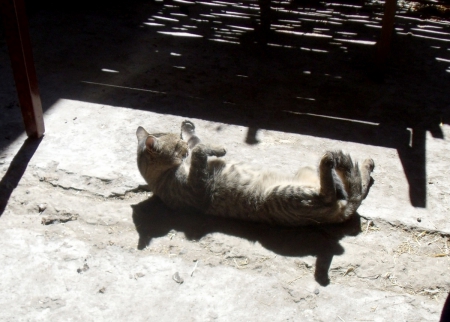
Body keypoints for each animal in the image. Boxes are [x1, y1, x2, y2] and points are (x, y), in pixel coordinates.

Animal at [135, 121, 374, 226]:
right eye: (176, 145)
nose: (182, 146)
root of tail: (342, 214)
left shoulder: (194, 159)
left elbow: (197, 142)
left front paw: (188, 128)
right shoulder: (197, 187)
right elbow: (201, 149)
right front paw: (218, 149)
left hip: (305, 172)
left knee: (354, 188)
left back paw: (364, 166)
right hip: (280, 194)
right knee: (336, 193)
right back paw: (331, 161)